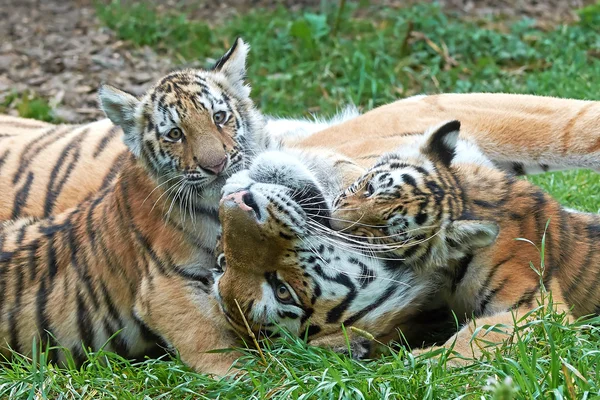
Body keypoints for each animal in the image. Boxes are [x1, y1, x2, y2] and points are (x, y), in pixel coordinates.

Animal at [0, 36, 272, 376]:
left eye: (219, 117)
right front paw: (255, 376)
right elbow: (212, 341)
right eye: (175, 134)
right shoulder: (164, 287)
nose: (216, 165)